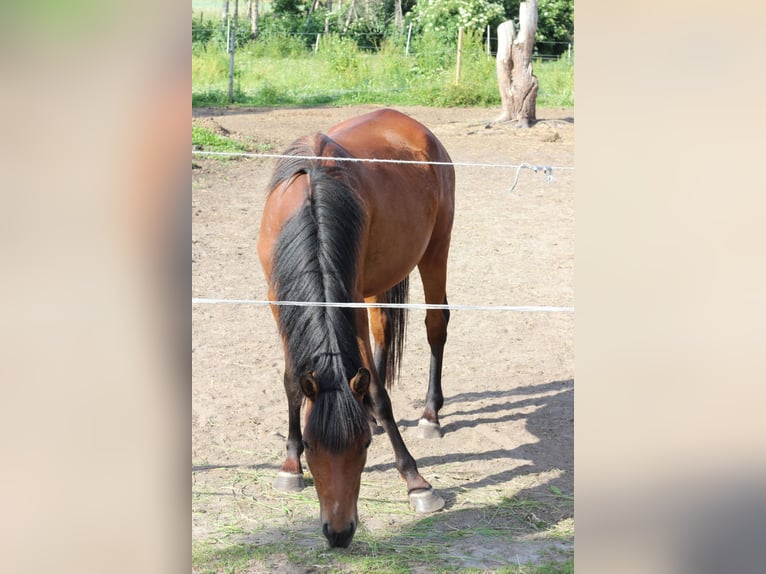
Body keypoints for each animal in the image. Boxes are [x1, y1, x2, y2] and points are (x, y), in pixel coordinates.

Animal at [258, 108, 456, 548]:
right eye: (311, 443)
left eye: (362, 446)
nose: (339, 533)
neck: (310, 203)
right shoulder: (277, 300)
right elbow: (292, 380)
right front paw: (290, 464)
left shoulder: (347, 298)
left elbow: (381, 395)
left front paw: (416, 482)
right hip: (376, 282)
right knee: (382, 329)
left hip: (436, 248)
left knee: (436, 323)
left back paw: (430, 415)